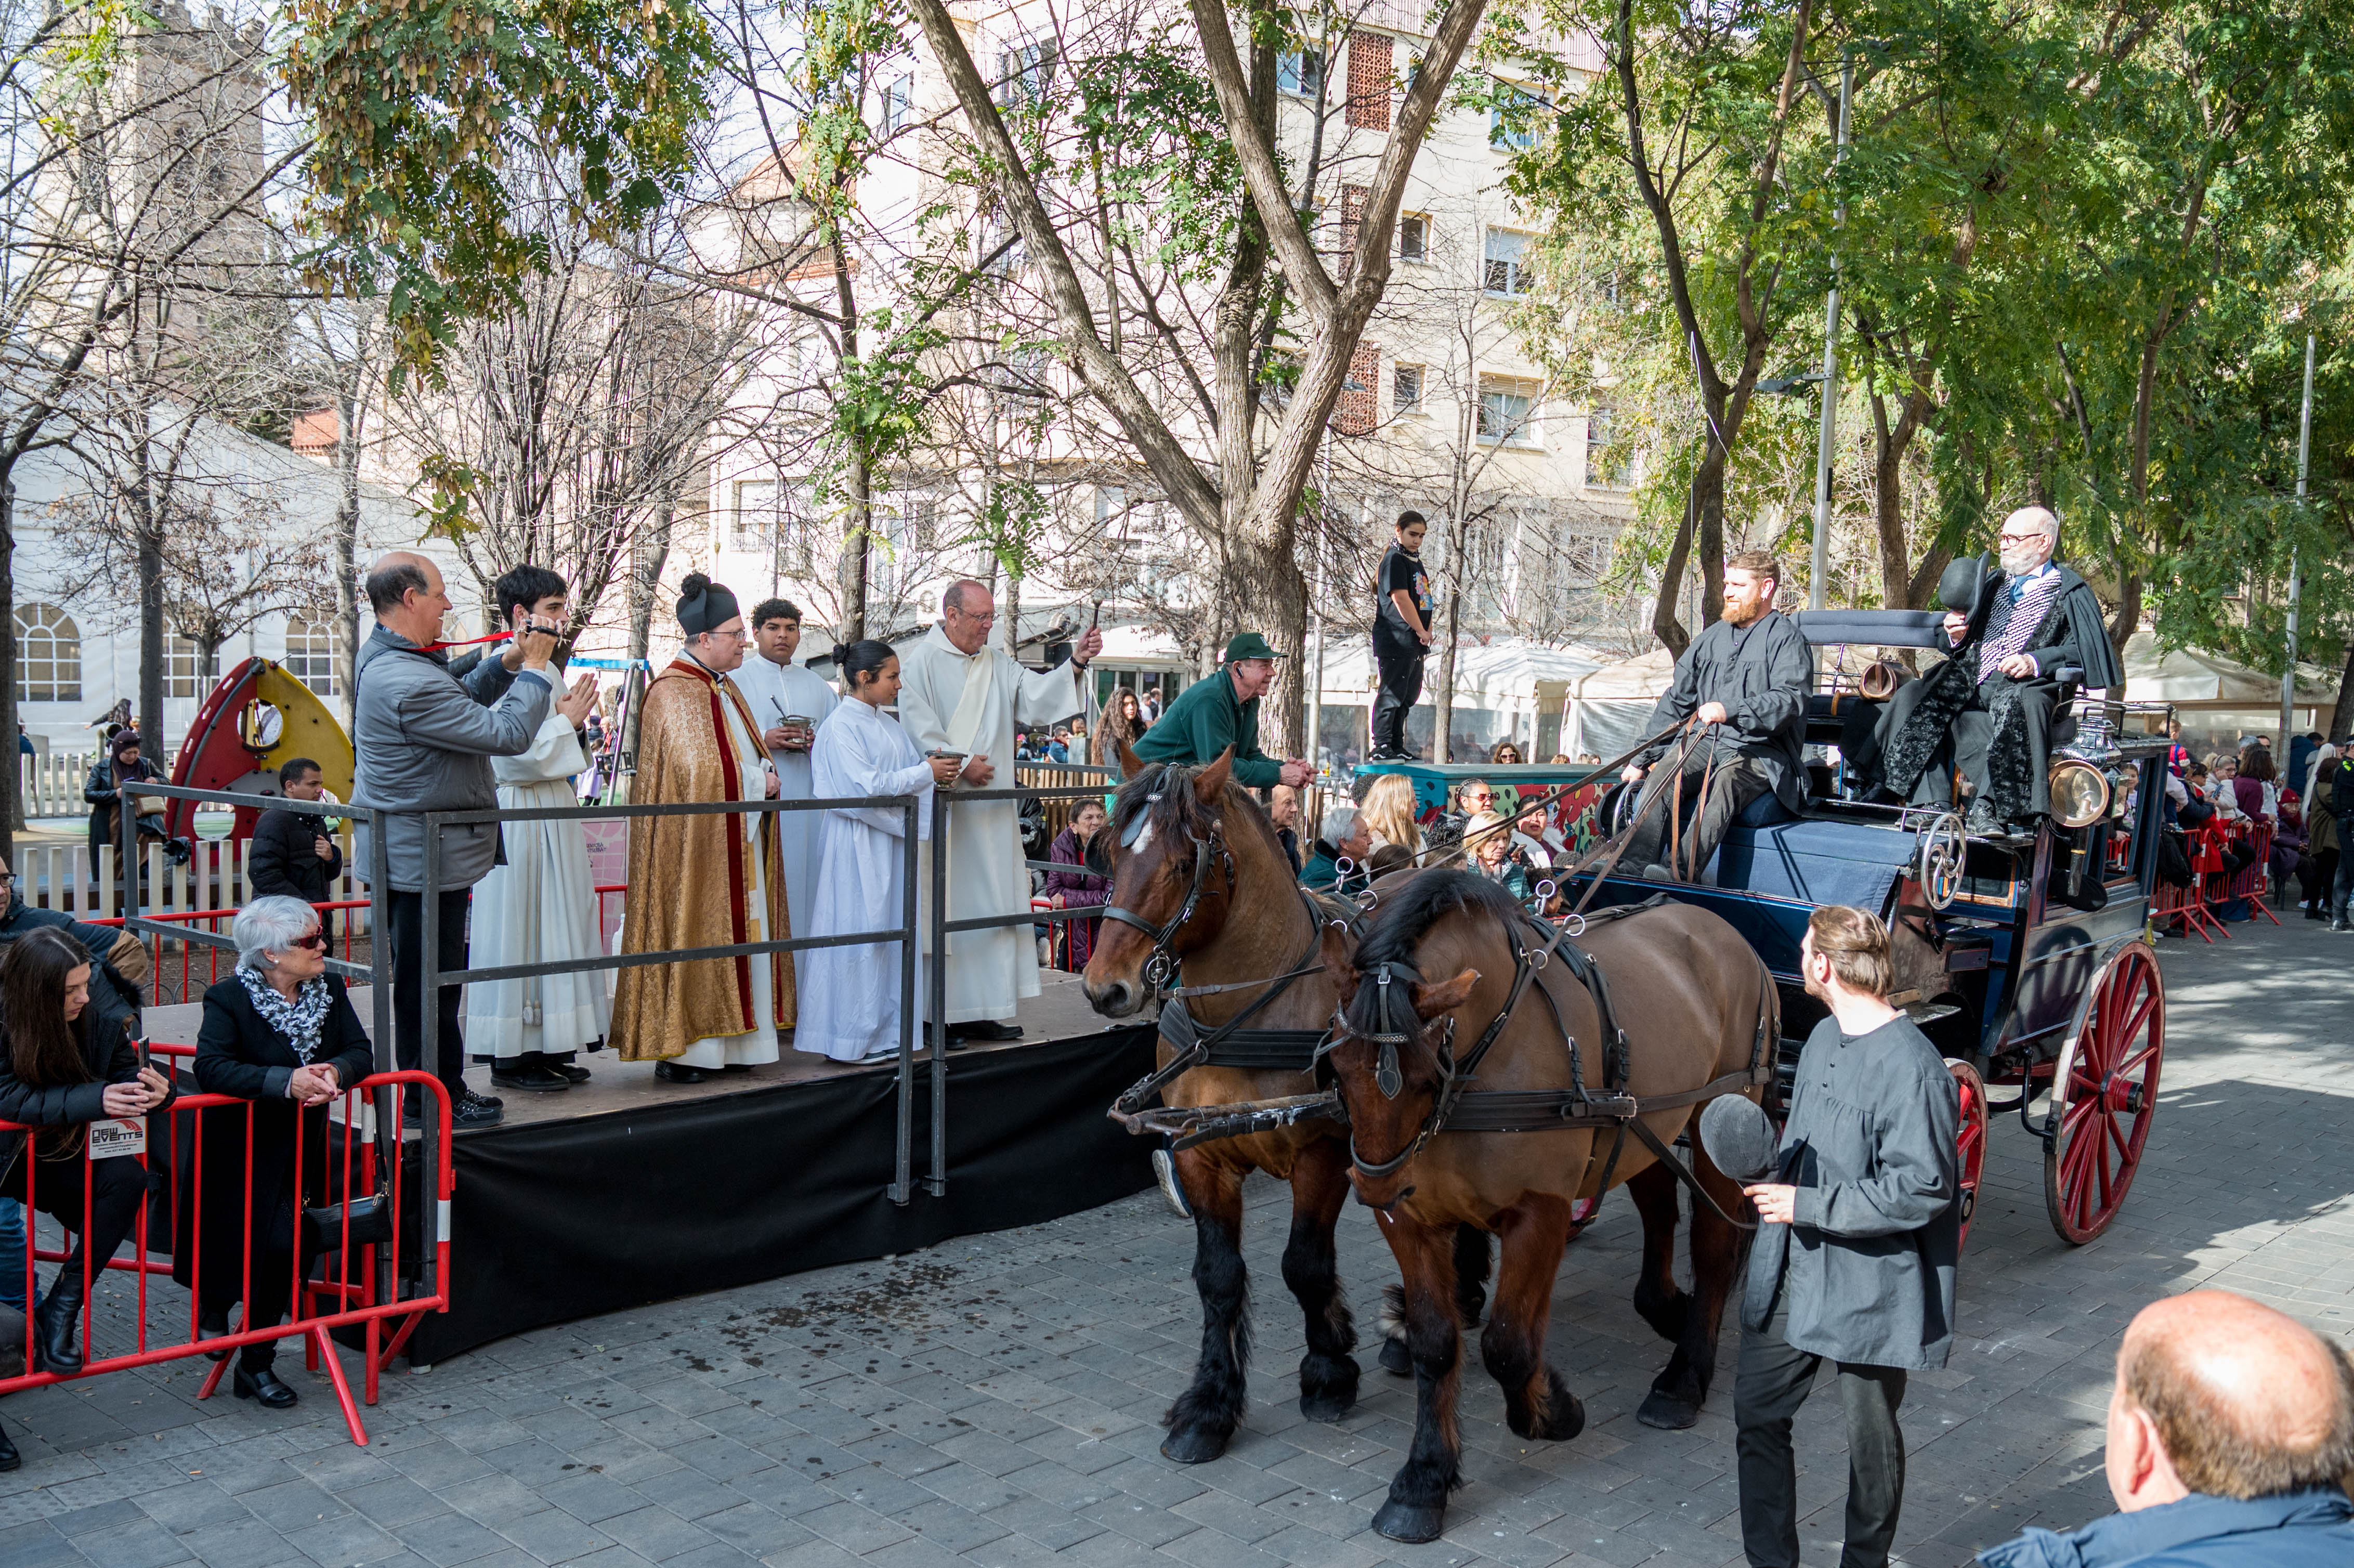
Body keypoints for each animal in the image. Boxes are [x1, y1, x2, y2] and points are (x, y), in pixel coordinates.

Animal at [1087, 744, 1450, 1450]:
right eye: (1112, 854)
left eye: (1182, 863)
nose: (1104, 988)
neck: (1249, 1013)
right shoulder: (1198, 1151)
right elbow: (1218, 1275)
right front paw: (1210, 1404)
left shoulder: (1324, 1149)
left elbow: (1303, 1264)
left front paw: (1329, 1371)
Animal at [1327, 866, 1770, 1535]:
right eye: (1335, 1065)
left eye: (1429, 1074)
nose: (1374, 1183)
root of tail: (1716, 925)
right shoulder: (1411, 1217)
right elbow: (1436, 1342)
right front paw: (1423, 1479)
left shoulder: (1539, 1210)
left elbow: (1509, 1344)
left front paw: (1552, 1410)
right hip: (1641, 1121)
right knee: (1659, 1209)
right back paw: (1665, 1305)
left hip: (1722, 1112)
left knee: (1716, 1244)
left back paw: (1683, 1379)